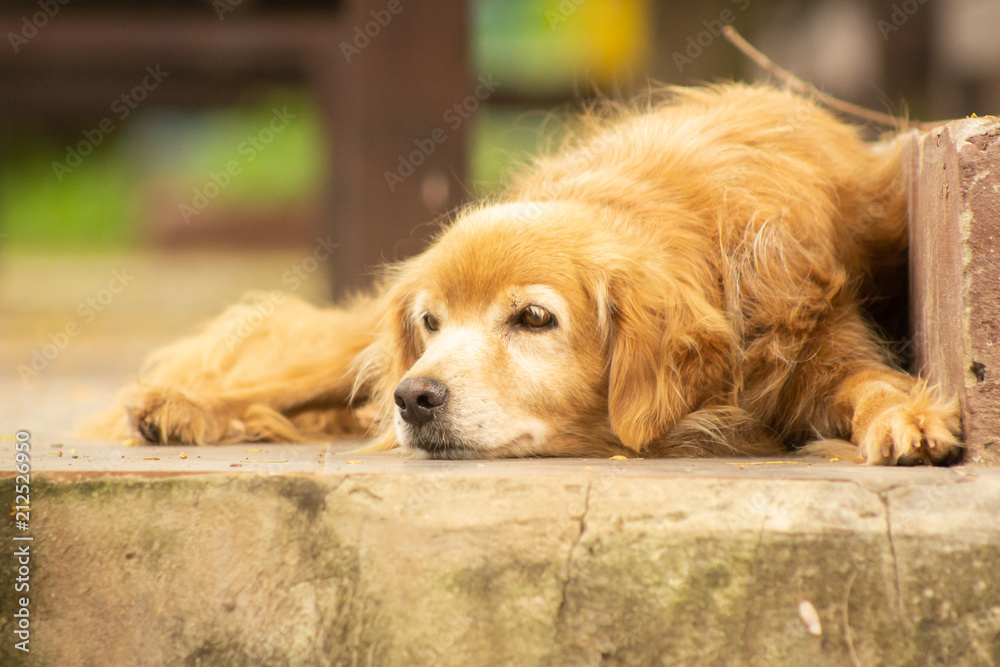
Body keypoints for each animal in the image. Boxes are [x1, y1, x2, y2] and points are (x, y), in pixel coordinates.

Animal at [86, 83, 960, 468]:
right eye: (432, 322)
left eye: (534, 319)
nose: (416, 397)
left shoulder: (824, 343)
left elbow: (870, 381)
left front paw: (909, 417)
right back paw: (183, 404)